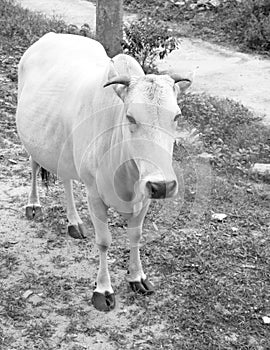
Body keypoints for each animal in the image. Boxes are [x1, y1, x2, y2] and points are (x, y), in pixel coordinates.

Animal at [15, 32, 191, 312]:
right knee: (33, 164)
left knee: (66, 179)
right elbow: (104, 241)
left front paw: (137, 277)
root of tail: (51, 35)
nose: (163, 185)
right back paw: (33, 205)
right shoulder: (95, 195)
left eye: (176, 116)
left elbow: (136, 235)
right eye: (130, 117)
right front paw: (103, 289)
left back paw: (74, 222)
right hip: (31, 139)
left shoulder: (144, 195)